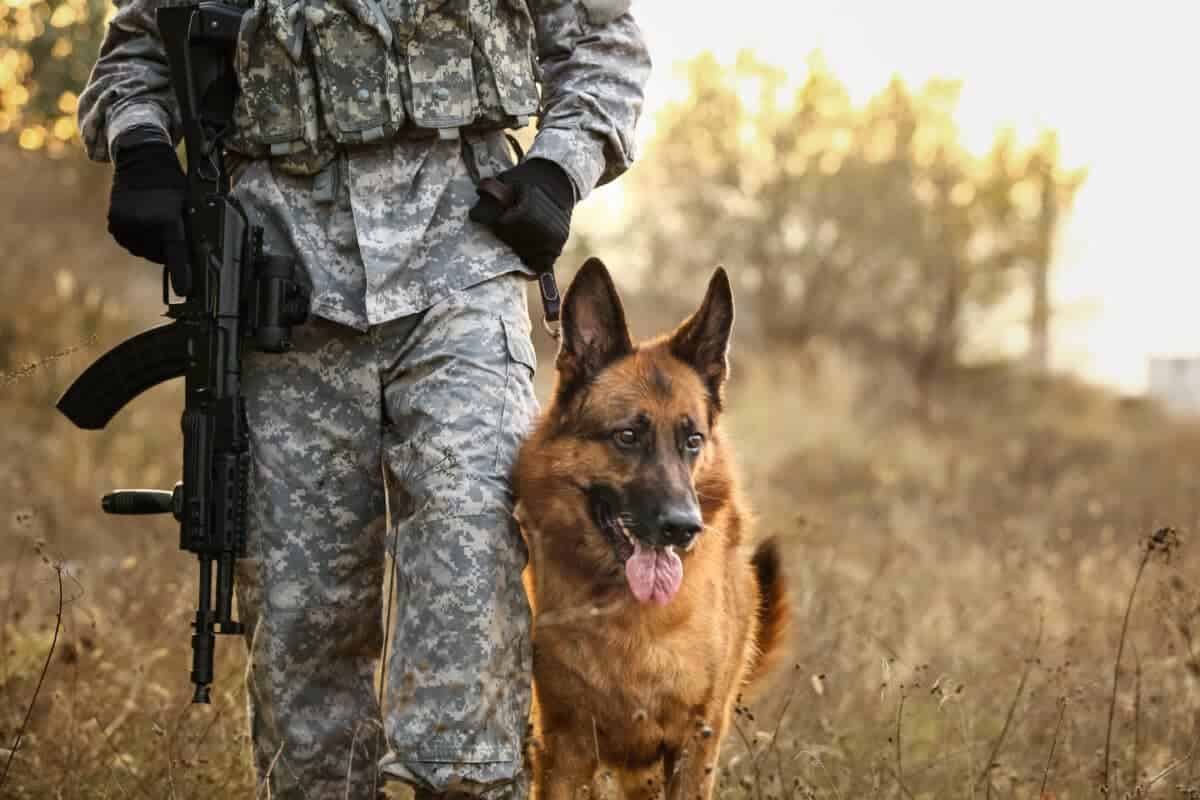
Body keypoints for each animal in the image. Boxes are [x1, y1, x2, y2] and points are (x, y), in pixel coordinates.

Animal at [513, 260, 787, 796]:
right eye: (627, 436)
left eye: (692, 439)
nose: (683, 527)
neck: (632, 619)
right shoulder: (564, 751)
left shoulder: (695, 748)